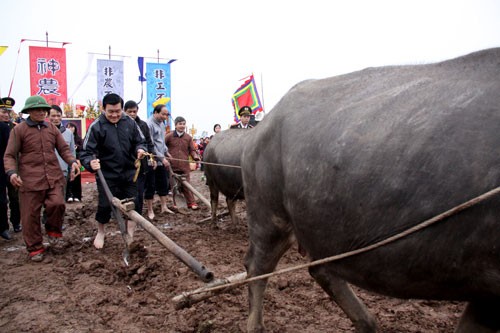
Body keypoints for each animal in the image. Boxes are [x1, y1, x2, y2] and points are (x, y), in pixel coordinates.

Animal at [240, 48, 498, 330]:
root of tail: (261, 128)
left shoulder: (485, 294)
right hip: (268, 215)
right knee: (257, 267)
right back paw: (255, 326)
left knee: (320, 267)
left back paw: (368, 323)